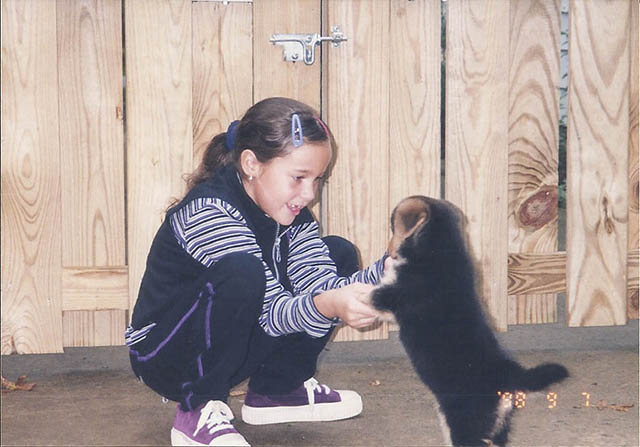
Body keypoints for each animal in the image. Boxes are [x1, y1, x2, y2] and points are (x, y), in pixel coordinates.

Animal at [370, 197, 568, 447]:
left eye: (391, 226)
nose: (387, 253)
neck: (442, 248)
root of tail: (508, 375)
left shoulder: (387, 296)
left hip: (465, 423)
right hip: (500, 425)